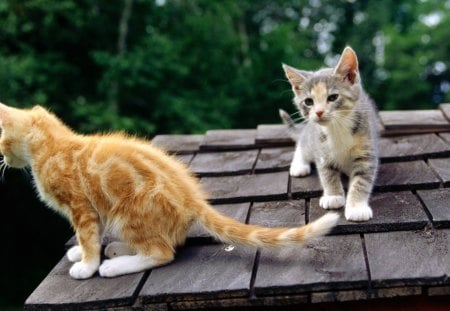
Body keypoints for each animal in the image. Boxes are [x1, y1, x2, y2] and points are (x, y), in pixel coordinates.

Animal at [0, 103, 338, 280]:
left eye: (2, 139)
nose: (2, 158)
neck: (52, 146)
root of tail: (190, 197)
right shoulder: (93, 210)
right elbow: (91, 237)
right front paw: (81, 253)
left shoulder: (81, 207)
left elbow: (87, 236)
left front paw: (87, 265)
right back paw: (117, 250)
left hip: (129, 212)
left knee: (162, 252)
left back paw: (114, 265)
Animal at [284, 47, 378, 222]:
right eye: (308, 102)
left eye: (333, 97)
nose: (319, 112)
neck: (337, 127)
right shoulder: (321, 149)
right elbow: (327, 173)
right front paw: (333, 196)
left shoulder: (367, 149)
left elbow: (362, 179)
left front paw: (357, 207)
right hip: (311, 136)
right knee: (302, 143)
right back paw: (299, 165)